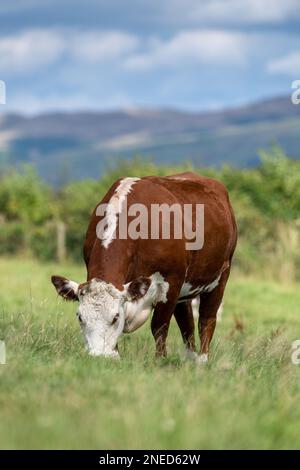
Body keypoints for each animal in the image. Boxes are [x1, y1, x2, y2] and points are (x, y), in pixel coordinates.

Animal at [52, 171, 239, 362]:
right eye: (80, 317)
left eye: (115, 317)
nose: (98, 356)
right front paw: (116, 355)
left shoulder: (171, 281)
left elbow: (159, 325)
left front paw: (160, 359)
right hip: (185, 289)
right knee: (187, 321)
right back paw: (189, 358)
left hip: (220, 276)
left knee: (207, 320)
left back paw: (202, 360)